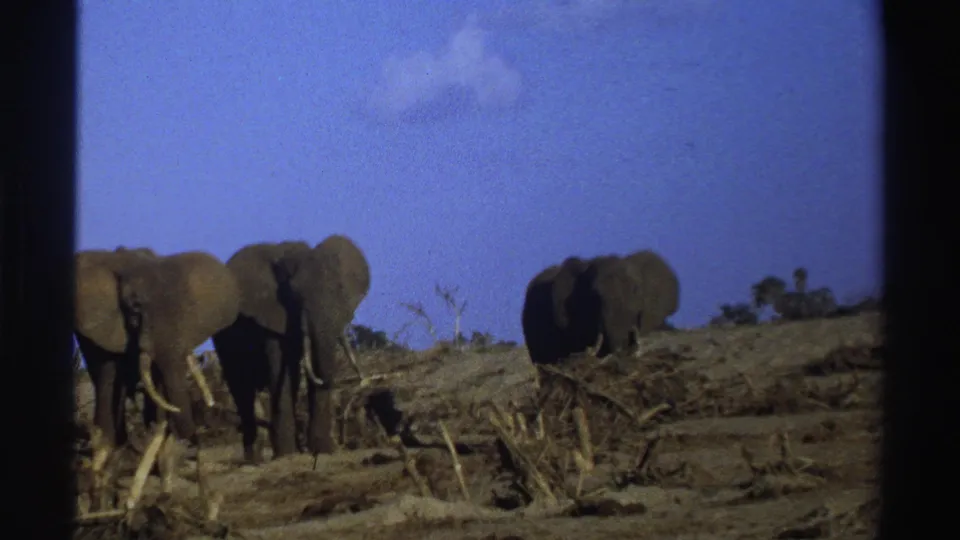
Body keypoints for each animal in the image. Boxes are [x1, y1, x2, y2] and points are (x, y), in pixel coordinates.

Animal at [212, 234, 371, 463]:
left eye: (340, 289)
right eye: (296, 295)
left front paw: (322, 450)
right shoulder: (270, 314)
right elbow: (280, 367)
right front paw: (287, 455)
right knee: (241, 389)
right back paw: (254, 460)